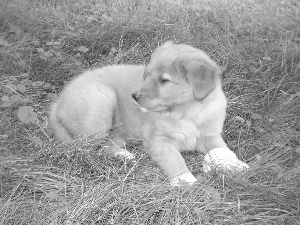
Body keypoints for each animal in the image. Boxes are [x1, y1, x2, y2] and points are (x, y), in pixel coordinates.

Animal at [49, 41, 248, 185]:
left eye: (164, 80)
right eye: (148, 74)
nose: (134, 96)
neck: (187, 113)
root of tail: (57, 102)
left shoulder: (209, 135)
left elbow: (221, 148)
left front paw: (236, 164)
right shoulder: (158, 141)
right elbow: (174, 158)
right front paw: (184, 180)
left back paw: (123, 154)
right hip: (100, 104)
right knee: (87, 149)